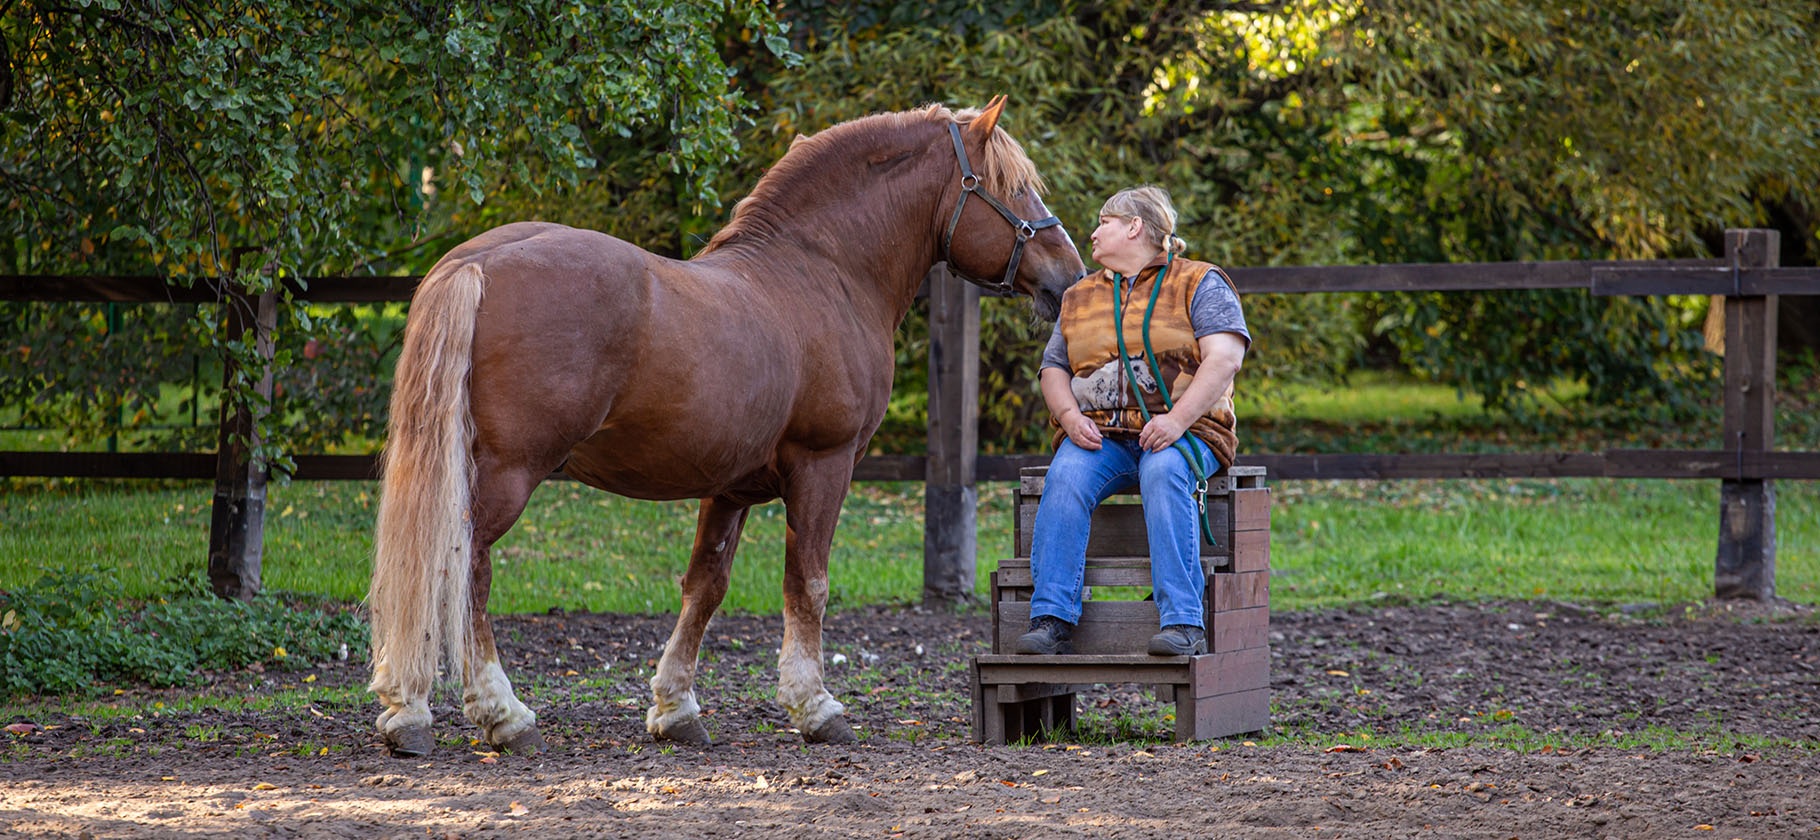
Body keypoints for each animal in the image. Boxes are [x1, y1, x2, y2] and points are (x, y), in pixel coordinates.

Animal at [362, 96, 1084, 756]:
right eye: (1010, 186)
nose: (1070, 278)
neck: (823, 273)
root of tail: (474, 263)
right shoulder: (823, 466)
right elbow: (808, 584)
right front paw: (816, 707)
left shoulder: (730, 486)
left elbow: (705, 588)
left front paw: (675, 709)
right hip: (508, 474)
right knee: (464, 570)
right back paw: (494, 714)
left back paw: (412, 708)